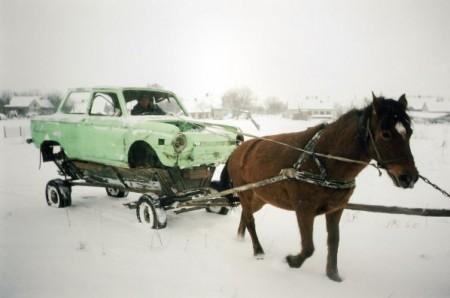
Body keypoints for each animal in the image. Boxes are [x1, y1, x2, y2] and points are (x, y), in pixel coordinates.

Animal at [221, 93, 418, 282]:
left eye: (409, 132)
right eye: (385, 134)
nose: (409, 177)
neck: (323, 160)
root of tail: (238, 150)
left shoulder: (336, 209)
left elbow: (334, 241)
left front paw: (333, 275)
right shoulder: (304, 209)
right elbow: (309, 247)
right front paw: (292, 261)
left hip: (261, 197)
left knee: (246, 214)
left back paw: (240, 238)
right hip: (245, 192)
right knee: (250, 219)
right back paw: (258, 251)